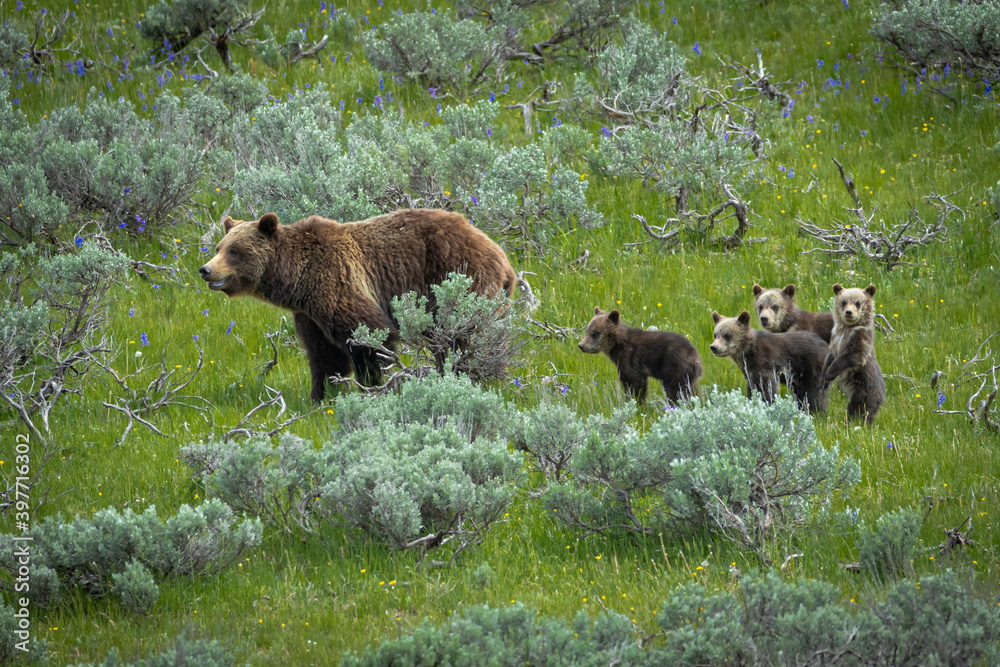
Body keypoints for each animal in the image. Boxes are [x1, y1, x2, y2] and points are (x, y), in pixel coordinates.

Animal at [199, 208, 516, 402]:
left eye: (235, 251)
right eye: (219, 247)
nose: (205, 269)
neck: (298, 280)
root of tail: (502, 257)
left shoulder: (338, 282)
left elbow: (368, 337)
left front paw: (371, 386)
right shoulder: (309, 315)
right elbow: (323, 356)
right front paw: (320, 395)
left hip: (461, 280)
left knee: (465, 338)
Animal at [821, 284, 884, 424]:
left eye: (858, 303)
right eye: (844, 302)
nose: (848, 312)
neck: (846, 329)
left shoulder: (859, 339)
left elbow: (851, 357)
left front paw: (829, 374)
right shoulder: (834, 339)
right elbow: (829, 357)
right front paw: (823, 380)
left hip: (863, 390)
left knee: (858, 409)